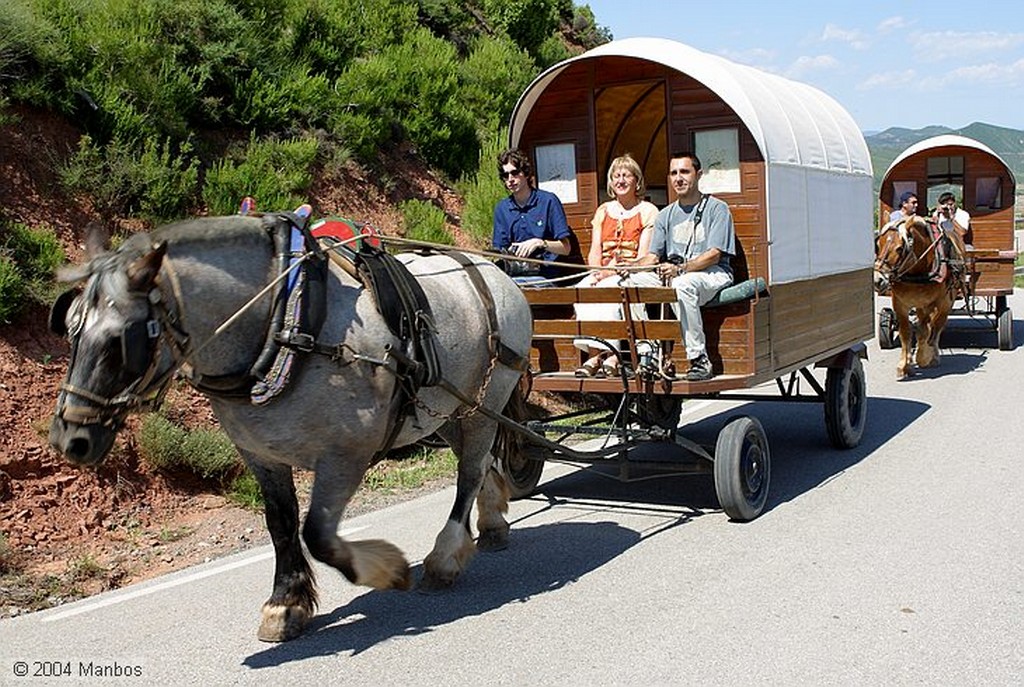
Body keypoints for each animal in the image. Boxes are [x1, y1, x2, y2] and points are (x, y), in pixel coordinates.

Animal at [48, 213, 532, 638]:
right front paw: (285, 604)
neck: (285, 323)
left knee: (469, 471)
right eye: (70, 329)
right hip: (448, 410)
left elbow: (317, 533)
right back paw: (491, 521)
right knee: (479, 460)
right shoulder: (259, 453)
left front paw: (387, 569)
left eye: (121, 339)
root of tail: (495, 272)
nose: (70, 438)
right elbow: (281, 524)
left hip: (486, 399)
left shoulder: (345, 455)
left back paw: (445, 557)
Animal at [872, 218, 966, 378]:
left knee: (937, 327)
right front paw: (905, 365)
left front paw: (922, 357)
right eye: (878, 245)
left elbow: (924, 331)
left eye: (899, 248)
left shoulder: (927, 303)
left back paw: (933, 355)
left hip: (946, 302)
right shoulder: (900, 303)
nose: (877, 280)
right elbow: (906, 333)